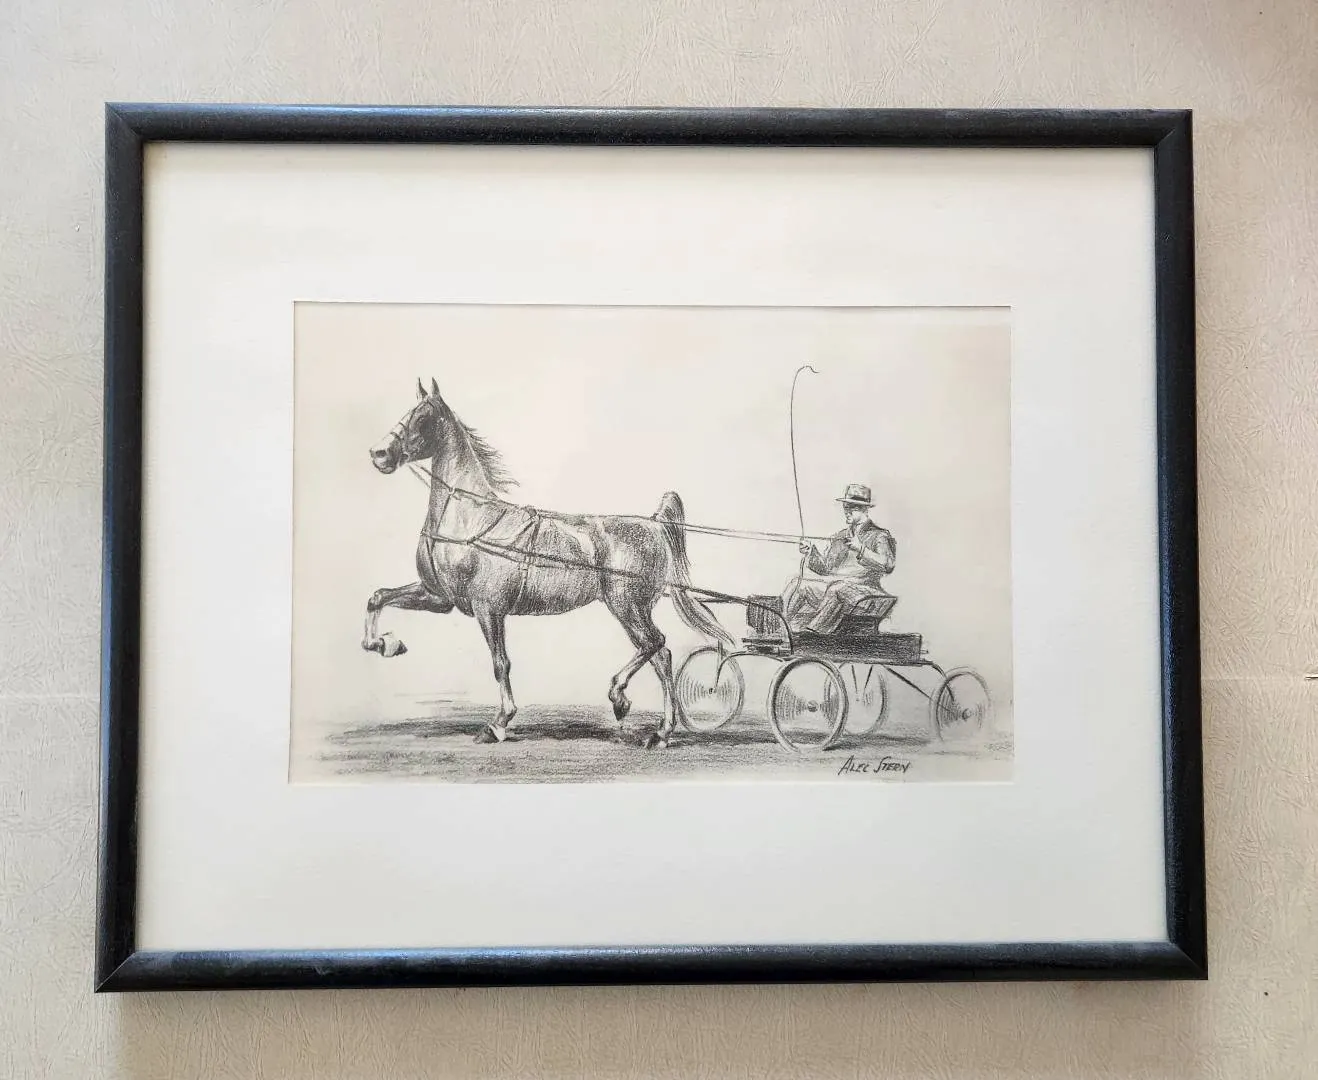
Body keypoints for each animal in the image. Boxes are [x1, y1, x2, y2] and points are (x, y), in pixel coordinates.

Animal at [361, 378, 736, 749]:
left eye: (423, 418)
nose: (379, 454)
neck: (469, 519)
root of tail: (655, 524)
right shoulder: (439, 597)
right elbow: (377, 597)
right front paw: (385, 644)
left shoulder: (488, 609)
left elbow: (500, 664)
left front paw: (498, 724)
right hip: (632, 608)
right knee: (660, 654)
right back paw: (655, 727)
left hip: (627, 605)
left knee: (655, 645)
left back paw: (632, 708)